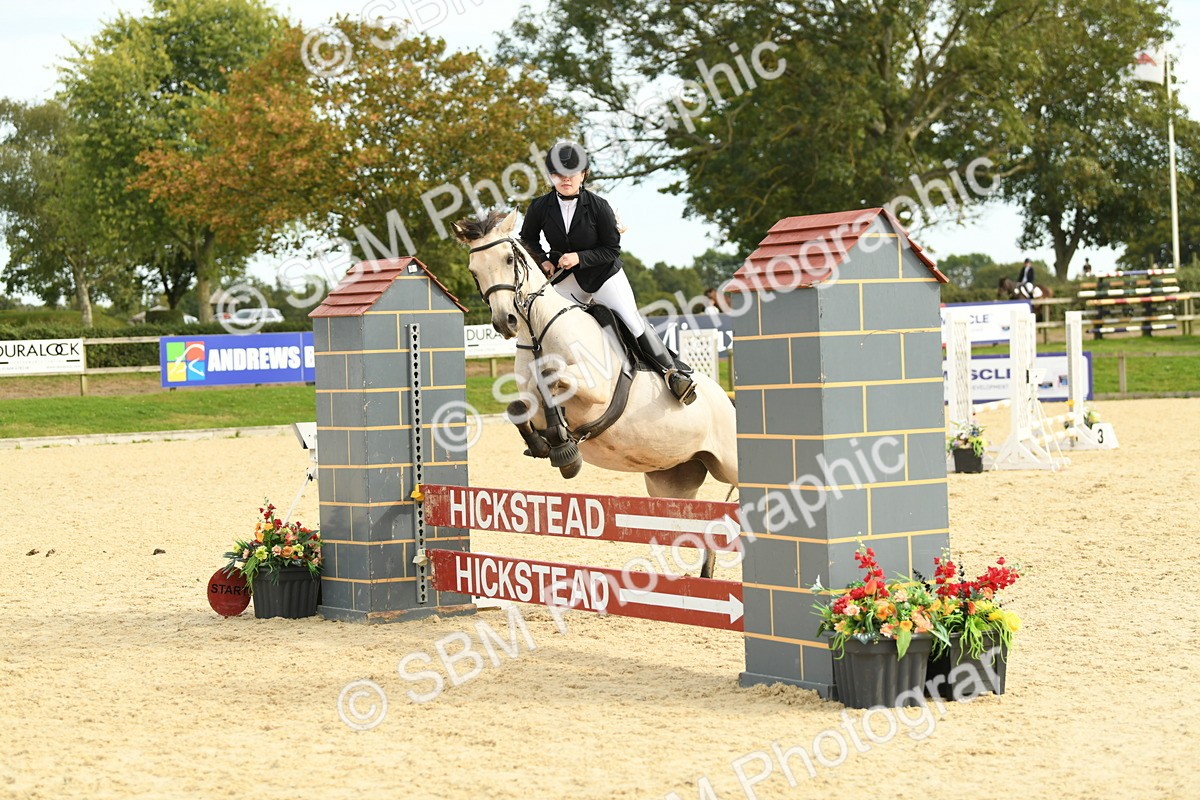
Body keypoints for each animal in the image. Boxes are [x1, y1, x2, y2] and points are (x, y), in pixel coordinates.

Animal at [451, 210, 738, 578]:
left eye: (508, 259)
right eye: (474, 270)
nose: (506, 322)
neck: (540, 328)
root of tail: (727, 402)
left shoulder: (595, 389)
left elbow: (552, 380)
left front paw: (565, 449)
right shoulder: (528, 397)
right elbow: (519, 407)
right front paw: (547, 444)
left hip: (728, 463)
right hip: (672, 481)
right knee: (703, 524)